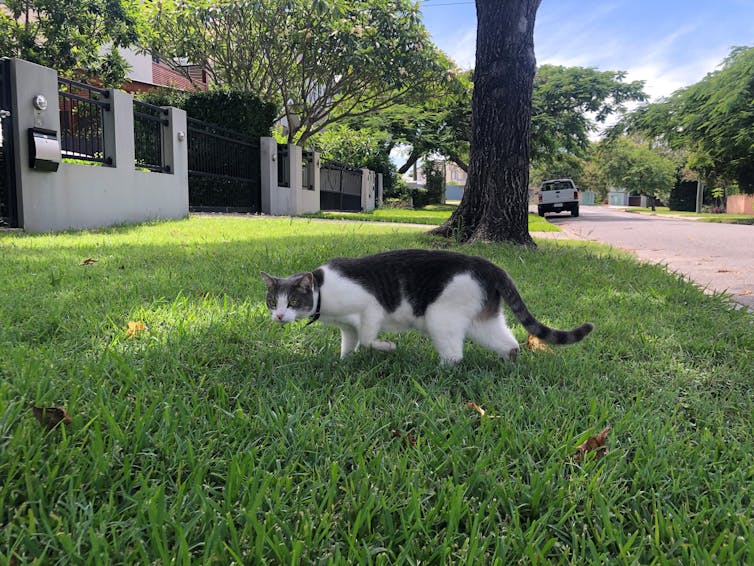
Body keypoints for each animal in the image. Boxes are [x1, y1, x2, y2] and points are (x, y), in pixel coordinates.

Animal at [262, 251, 592, 366]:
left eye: (292, 302)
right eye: (272, 302)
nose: (278, 316)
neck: (323, 290)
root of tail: (490, 265)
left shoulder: (371, 308)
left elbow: (368, 339)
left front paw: (387, 347)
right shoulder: (347, 326)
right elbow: (350, 343)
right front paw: (344, 363)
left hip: (440, 315)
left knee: (455, 355)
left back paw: (439, 371)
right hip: (481, 320)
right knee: (508, 343)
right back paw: (509, 364)